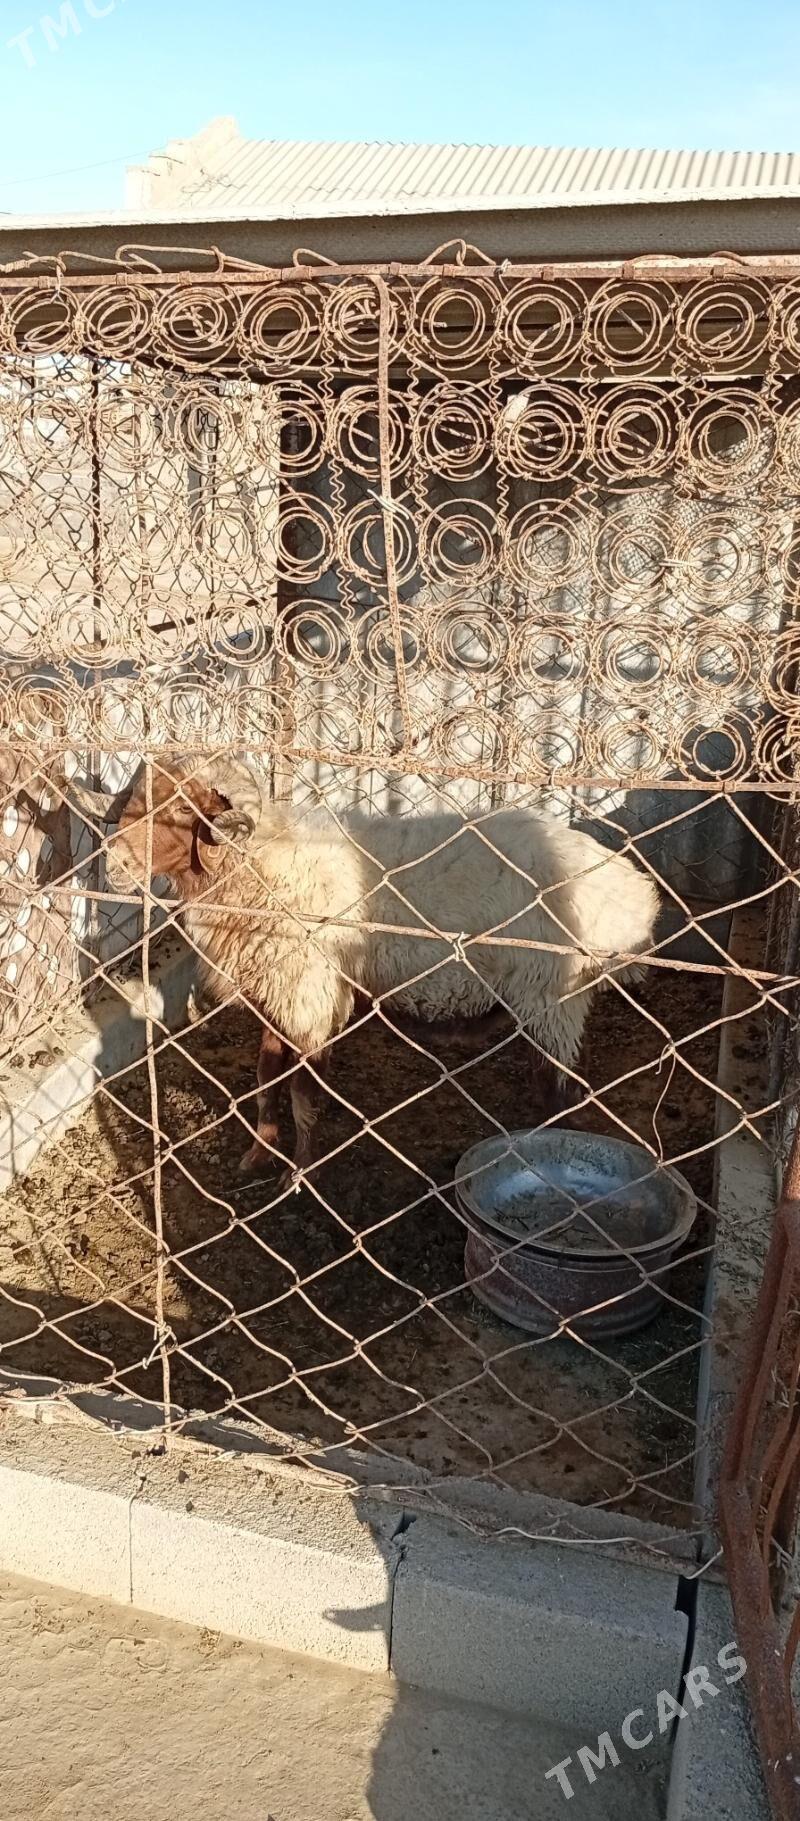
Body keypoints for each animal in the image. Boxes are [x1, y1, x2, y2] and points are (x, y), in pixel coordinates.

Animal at [69, 758, 660, 1181]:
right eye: (135, 801)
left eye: (181, 810)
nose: (112, 869)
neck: (258, 867)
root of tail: (636, 897)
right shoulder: (276, 994)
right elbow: (264, 1077)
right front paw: (259, 1155)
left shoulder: (309, 998)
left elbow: (304, 1090)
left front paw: (299, 1174)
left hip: (550, 996)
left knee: (558, 1085)